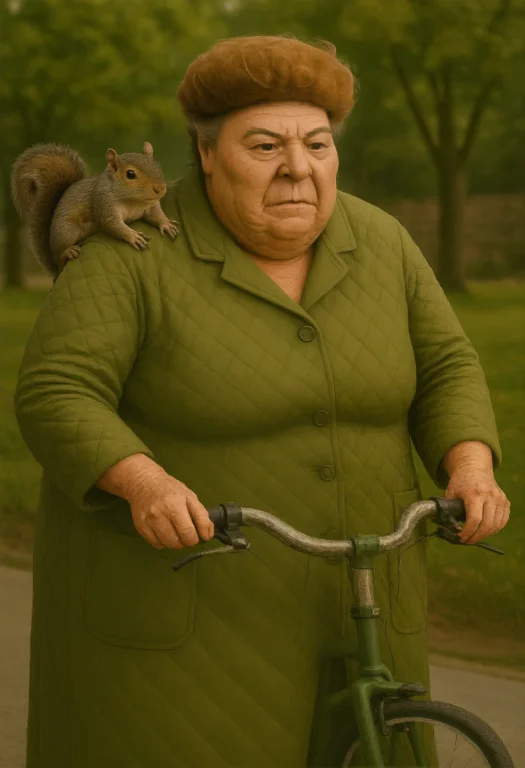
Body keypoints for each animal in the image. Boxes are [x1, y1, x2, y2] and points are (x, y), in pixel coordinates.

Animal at [11, 141, 179, 280]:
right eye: (130, 174)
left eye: (158, 166)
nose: (160, 188)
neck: (134, 201)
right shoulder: (104, 202)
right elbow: (112, 224)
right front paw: (132, 236)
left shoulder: (149, 206)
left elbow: (156, 215)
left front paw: (166, 224)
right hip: (67, 230)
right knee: (60, 253)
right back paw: (68, 251)